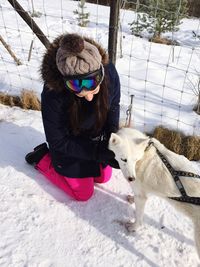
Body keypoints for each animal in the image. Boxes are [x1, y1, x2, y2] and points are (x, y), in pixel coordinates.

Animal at [108, 129, 200, 258]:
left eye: (135, 160)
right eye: (124, 159)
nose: (132, 178)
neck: (145, 152)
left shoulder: (141, 197)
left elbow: (139, 218)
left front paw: (134, 227)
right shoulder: (144, 192)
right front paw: (131, 199)